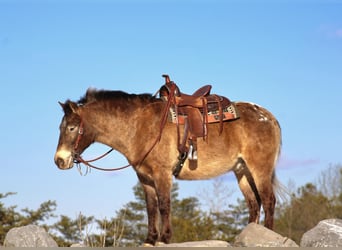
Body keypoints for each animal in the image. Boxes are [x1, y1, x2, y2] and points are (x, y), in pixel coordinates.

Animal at [54, 75, 282, 245]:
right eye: (61, 127)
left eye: (72, 128)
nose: (59, 160)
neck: (139, 126)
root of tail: (268, 117)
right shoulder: (144, 177)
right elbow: (151, 207)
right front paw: (150, 239)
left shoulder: (162, 173)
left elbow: (164, 205)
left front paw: (164, 238)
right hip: (242, 171)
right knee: (254, 204)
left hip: (259, 169)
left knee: (268, 201)